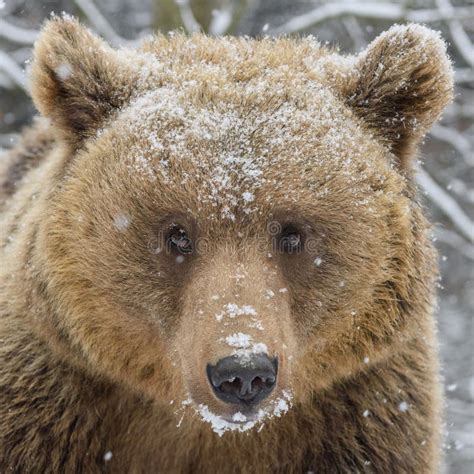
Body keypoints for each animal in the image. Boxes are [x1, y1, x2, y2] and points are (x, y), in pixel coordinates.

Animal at [0, 16, 452, 474]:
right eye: (178, 233)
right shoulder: (48, 403)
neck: (202, 430)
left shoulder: (365, 417)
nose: (243, 373)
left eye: (293, 233)